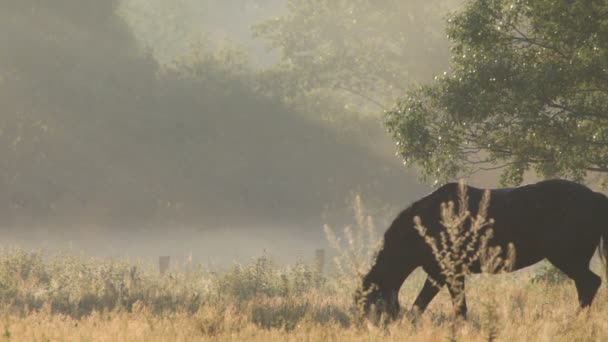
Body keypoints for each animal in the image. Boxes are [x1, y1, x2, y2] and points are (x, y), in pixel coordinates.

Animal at [356, 180, 608, 320]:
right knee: (586, 286)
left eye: (368, 303)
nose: (364, 326)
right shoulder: (444, 273)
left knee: (590, 283)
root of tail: (596, 198)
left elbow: (434, 306)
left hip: (567, 257)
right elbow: (446, 306)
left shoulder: (445, 272)